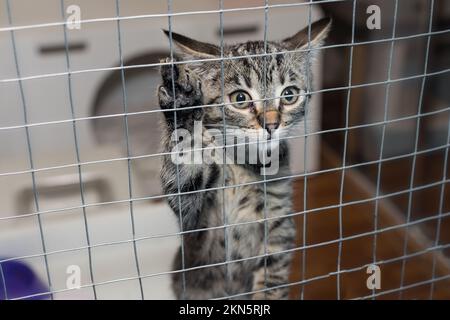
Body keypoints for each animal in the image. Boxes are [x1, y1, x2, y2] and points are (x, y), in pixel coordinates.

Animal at [158, 16, 330, 298]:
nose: (271, 124)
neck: (246, 166)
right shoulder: (196, 222)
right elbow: (185, 175)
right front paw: (181, 101)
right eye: (240, 98)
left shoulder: (279, 222)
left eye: (289, 94)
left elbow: (272, 276)